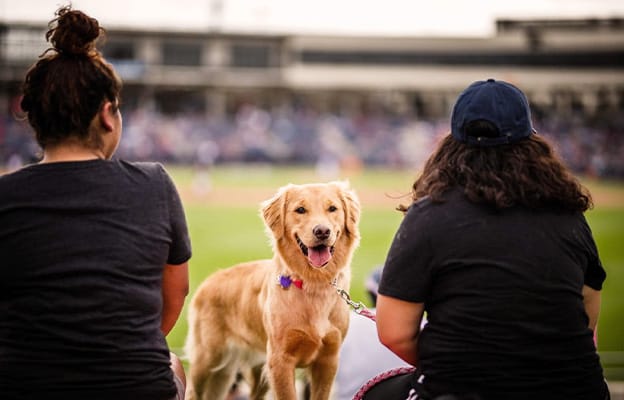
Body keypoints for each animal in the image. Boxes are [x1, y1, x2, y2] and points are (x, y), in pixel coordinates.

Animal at [185, 181, 360, 400]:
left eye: (332, 208)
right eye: (300, 210)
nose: (322, 231)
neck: (312, 282)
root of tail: (210, 279)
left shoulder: (328, 360)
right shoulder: (280, 360)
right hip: (207, 359)